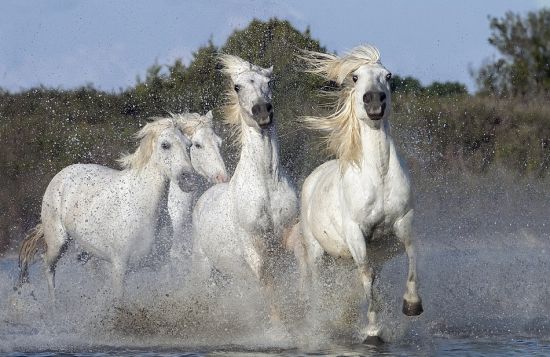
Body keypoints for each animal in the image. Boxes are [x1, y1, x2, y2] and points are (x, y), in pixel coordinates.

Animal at [17, 118, 198, 298]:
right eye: (165, 145)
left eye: (189, 145)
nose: (189, 180)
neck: (142, 208)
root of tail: (62, 174)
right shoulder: (119, 267)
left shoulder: (159, 264)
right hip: (57, 242)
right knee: (48, 266)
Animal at [193, 54, 300, 322]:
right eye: (237, 87)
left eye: (269, 82)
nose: (262, 111)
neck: (266, 184)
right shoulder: (254, 248)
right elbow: (269, 285)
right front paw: (280, 327)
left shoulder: (290, 232)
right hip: (204, 267)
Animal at [294, 44, 426, 342]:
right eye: (355, 78)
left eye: (388, 76)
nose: (374, 101)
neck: (378, 177)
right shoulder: (356, 233)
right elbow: (367, 276)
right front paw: (373, 329)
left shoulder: (404, 222)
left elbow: (412, 254)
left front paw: (412, 305)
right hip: (317, 252)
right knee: (318, 284)